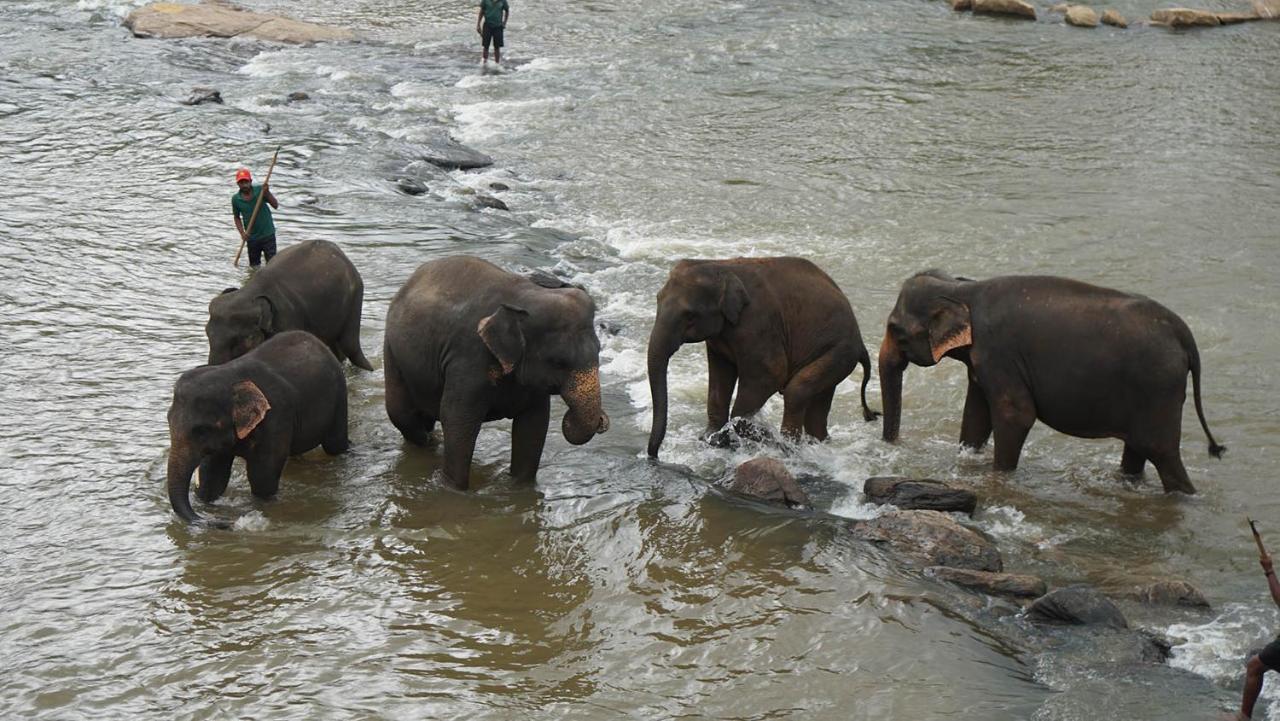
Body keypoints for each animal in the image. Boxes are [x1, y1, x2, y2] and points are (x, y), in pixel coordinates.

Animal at [170, 330, 353, 527]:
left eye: (202, 430)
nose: (226, 523)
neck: (230, 377)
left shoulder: (276, 419)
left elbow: (262, 478)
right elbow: (213, 475)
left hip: (339, 395)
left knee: (334, 445)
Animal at [204, 238, 373, 368]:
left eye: (243, 340)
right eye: (207, 333)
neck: (249, 293)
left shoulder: (287, 319)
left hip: (355, 296)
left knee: (350, 346)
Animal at [384, 254, 609, 491]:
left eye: (599, 350)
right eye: (558, 362)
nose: (601, 420)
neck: (526, 298)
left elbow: (534, 424)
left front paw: (519, 488)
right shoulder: (468, 358)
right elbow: (457, 419)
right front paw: (453, 490)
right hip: (393, 350)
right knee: (401, 413)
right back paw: (428, 445)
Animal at [650, 254, 880, 455]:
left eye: (689, 315)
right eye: (657, 299)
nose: (654, 455)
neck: (721, 265)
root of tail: (860, 342)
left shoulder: (758, 323)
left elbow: (769, 375)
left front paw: (738, 436)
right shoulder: (720, 337)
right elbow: (719, 377)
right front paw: (709, 439)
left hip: (839, 350)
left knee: (796, 391)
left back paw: (789, 447)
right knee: (818, 405)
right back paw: (816, 444)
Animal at [875, 272, 1223, 496]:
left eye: (895, 329)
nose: (888, 441)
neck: (963, 290)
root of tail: (1183, 334)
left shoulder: (998, 353)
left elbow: (1015, 415)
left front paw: (999, 477)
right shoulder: (982, 362)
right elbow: (975, 415)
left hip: (1158, 388)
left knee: (1161, 451)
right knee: (1137, 449)